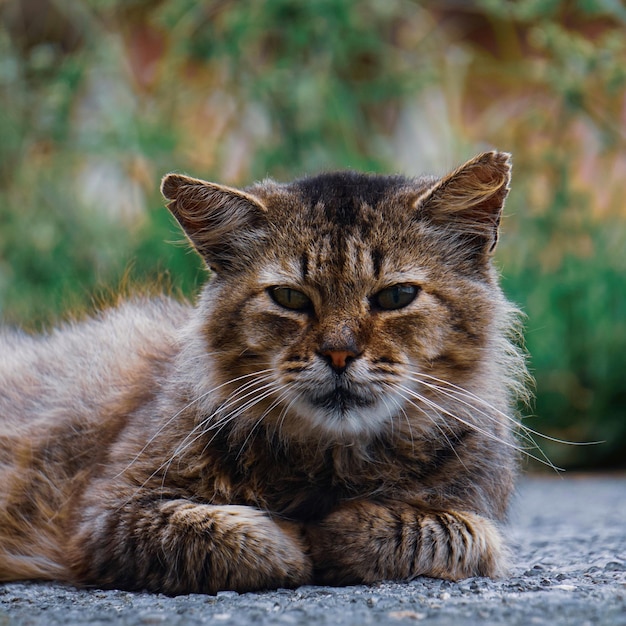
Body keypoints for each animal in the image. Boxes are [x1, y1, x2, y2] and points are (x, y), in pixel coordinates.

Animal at [0, 151, 528, 596]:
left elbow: (444, 531)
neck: (331, 464)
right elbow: (246, 541)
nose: (338, 354)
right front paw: (299, 539)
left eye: (396, 297)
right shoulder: (107, 516)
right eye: (290, 298)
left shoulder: (476, 513)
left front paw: (335, 533)